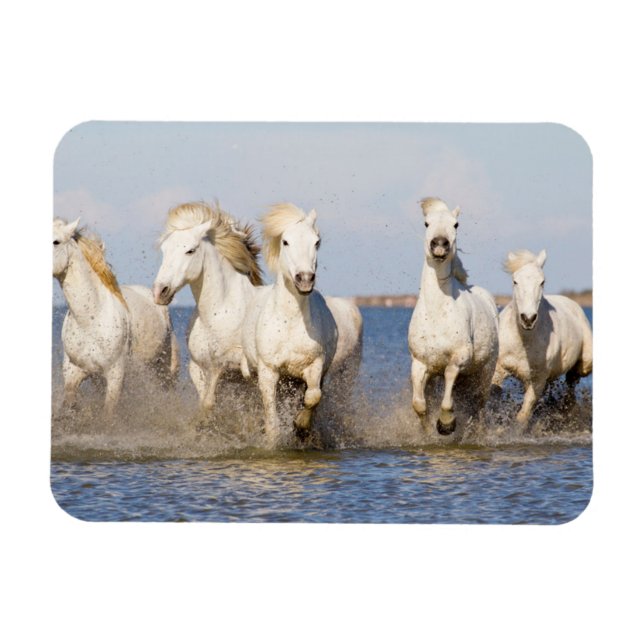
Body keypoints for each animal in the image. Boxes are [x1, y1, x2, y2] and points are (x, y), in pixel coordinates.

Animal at [53, 218, 179, 416]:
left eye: (56, 242)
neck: (91, 320)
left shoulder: (115, 374)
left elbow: (108, 413)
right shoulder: (74, 372)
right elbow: (70, 402)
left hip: (166, 370)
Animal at [153, 201, 264, 423]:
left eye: (190, 251)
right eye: (164, 250)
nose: (160, 291)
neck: (219, 312)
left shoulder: (236, 365)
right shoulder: (197, 367)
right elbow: (206, 402)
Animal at [241, 203, 363, 447]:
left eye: (317, 241)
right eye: (286, 242)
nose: (304, 279)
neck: (289, 322)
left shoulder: (314, 366)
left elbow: (313, 397)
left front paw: (300, 426)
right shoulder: (269, 372)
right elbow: (271, 418)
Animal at [408, 197, 499, 435]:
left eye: (456, 224)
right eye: (426, 223)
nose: (440, 243)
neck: (437, 313)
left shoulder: (459, 357)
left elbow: (449, 383)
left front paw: (446, 423)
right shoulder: (420, 363)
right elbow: (419, 404)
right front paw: (428, 430)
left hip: (485, 372)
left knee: (479, 404)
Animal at [491, 249, 593, 426]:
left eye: (542, 282)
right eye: (515, 281)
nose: (528, 318)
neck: (523, 342)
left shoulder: (537, 381)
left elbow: (522, 416)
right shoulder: (499, 370)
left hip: (585, 363)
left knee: (572, 381)